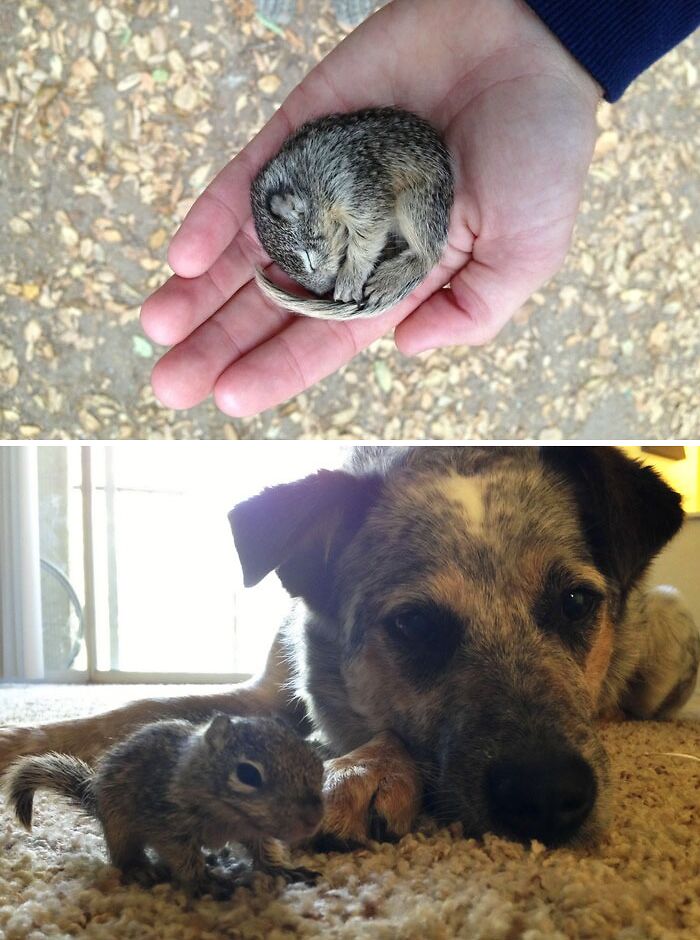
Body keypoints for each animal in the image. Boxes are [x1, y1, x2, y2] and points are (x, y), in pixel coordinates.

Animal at [0, 444, 696, 848]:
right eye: (415, 625)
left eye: (575, 603)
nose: (549, 797)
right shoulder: (263, 694)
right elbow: (126, 712)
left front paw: (362, 770)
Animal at [5, 716, 324, 900]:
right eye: (247, 774)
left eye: (317, 762)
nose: (313, 820)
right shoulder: (168, 825)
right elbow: (182, 857)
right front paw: (204, 882)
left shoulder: (257, 832)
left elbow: (265, 851)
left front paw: (282, 870)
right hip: (119, 825)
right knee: (123, 856)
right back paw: (140, 870)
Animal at [252, 105, 454, 320]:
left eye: (309, 260)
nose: (324, 290)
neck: (309, 180)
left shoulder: (356, 190)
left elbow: (367, 236)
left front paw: (349, 279)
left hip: (417, 203)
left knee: (428, 255)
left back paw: (389, 280)